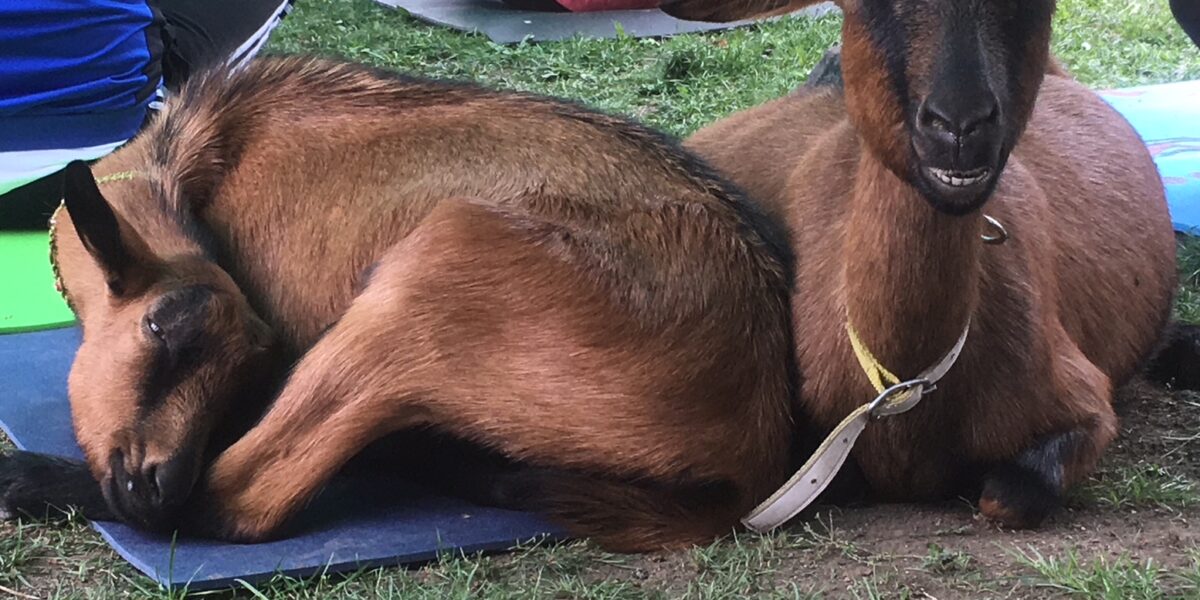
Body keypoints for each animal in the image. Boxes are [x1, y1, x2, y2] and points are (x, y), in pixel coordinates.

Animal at [0, 56, 797, 551]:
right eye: (162, 329)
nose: (157, 484)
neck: (204, 160)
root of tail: (759, 437)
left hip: (435, 270)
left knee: (243, 499)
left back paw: (33, 480)